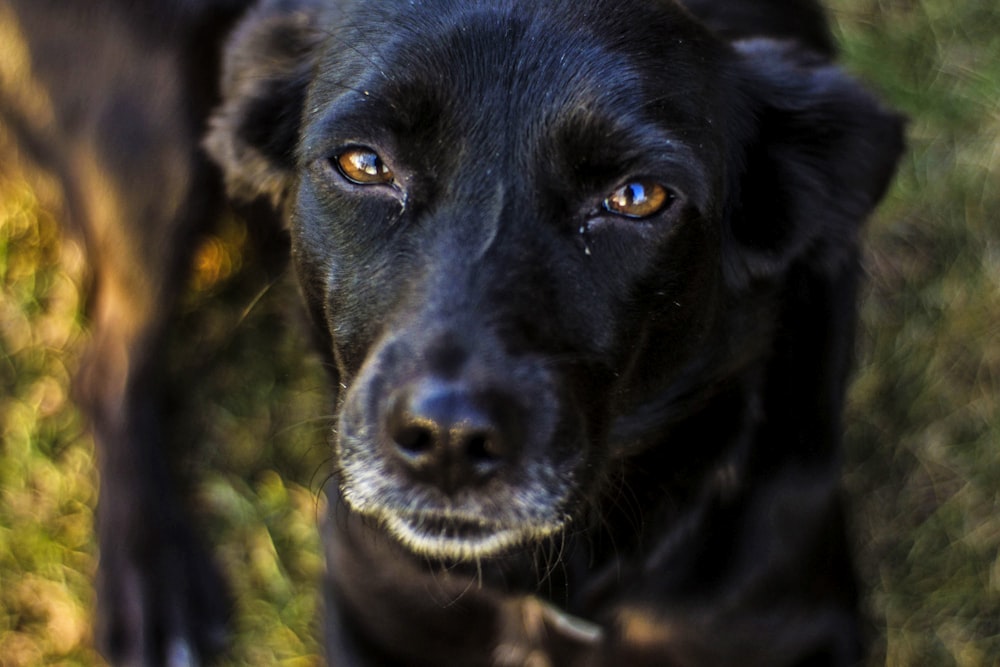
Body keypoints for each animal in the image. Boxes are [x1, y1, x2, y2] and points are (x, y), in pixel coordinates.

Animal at [1, 0, 908, 664]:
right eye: (364, 163)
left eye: (637, 196)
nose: (445, 441)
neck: (547, 590)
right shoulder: (370, 614)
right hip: (150, 141)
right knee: (109, 365)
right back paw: (150, 581)